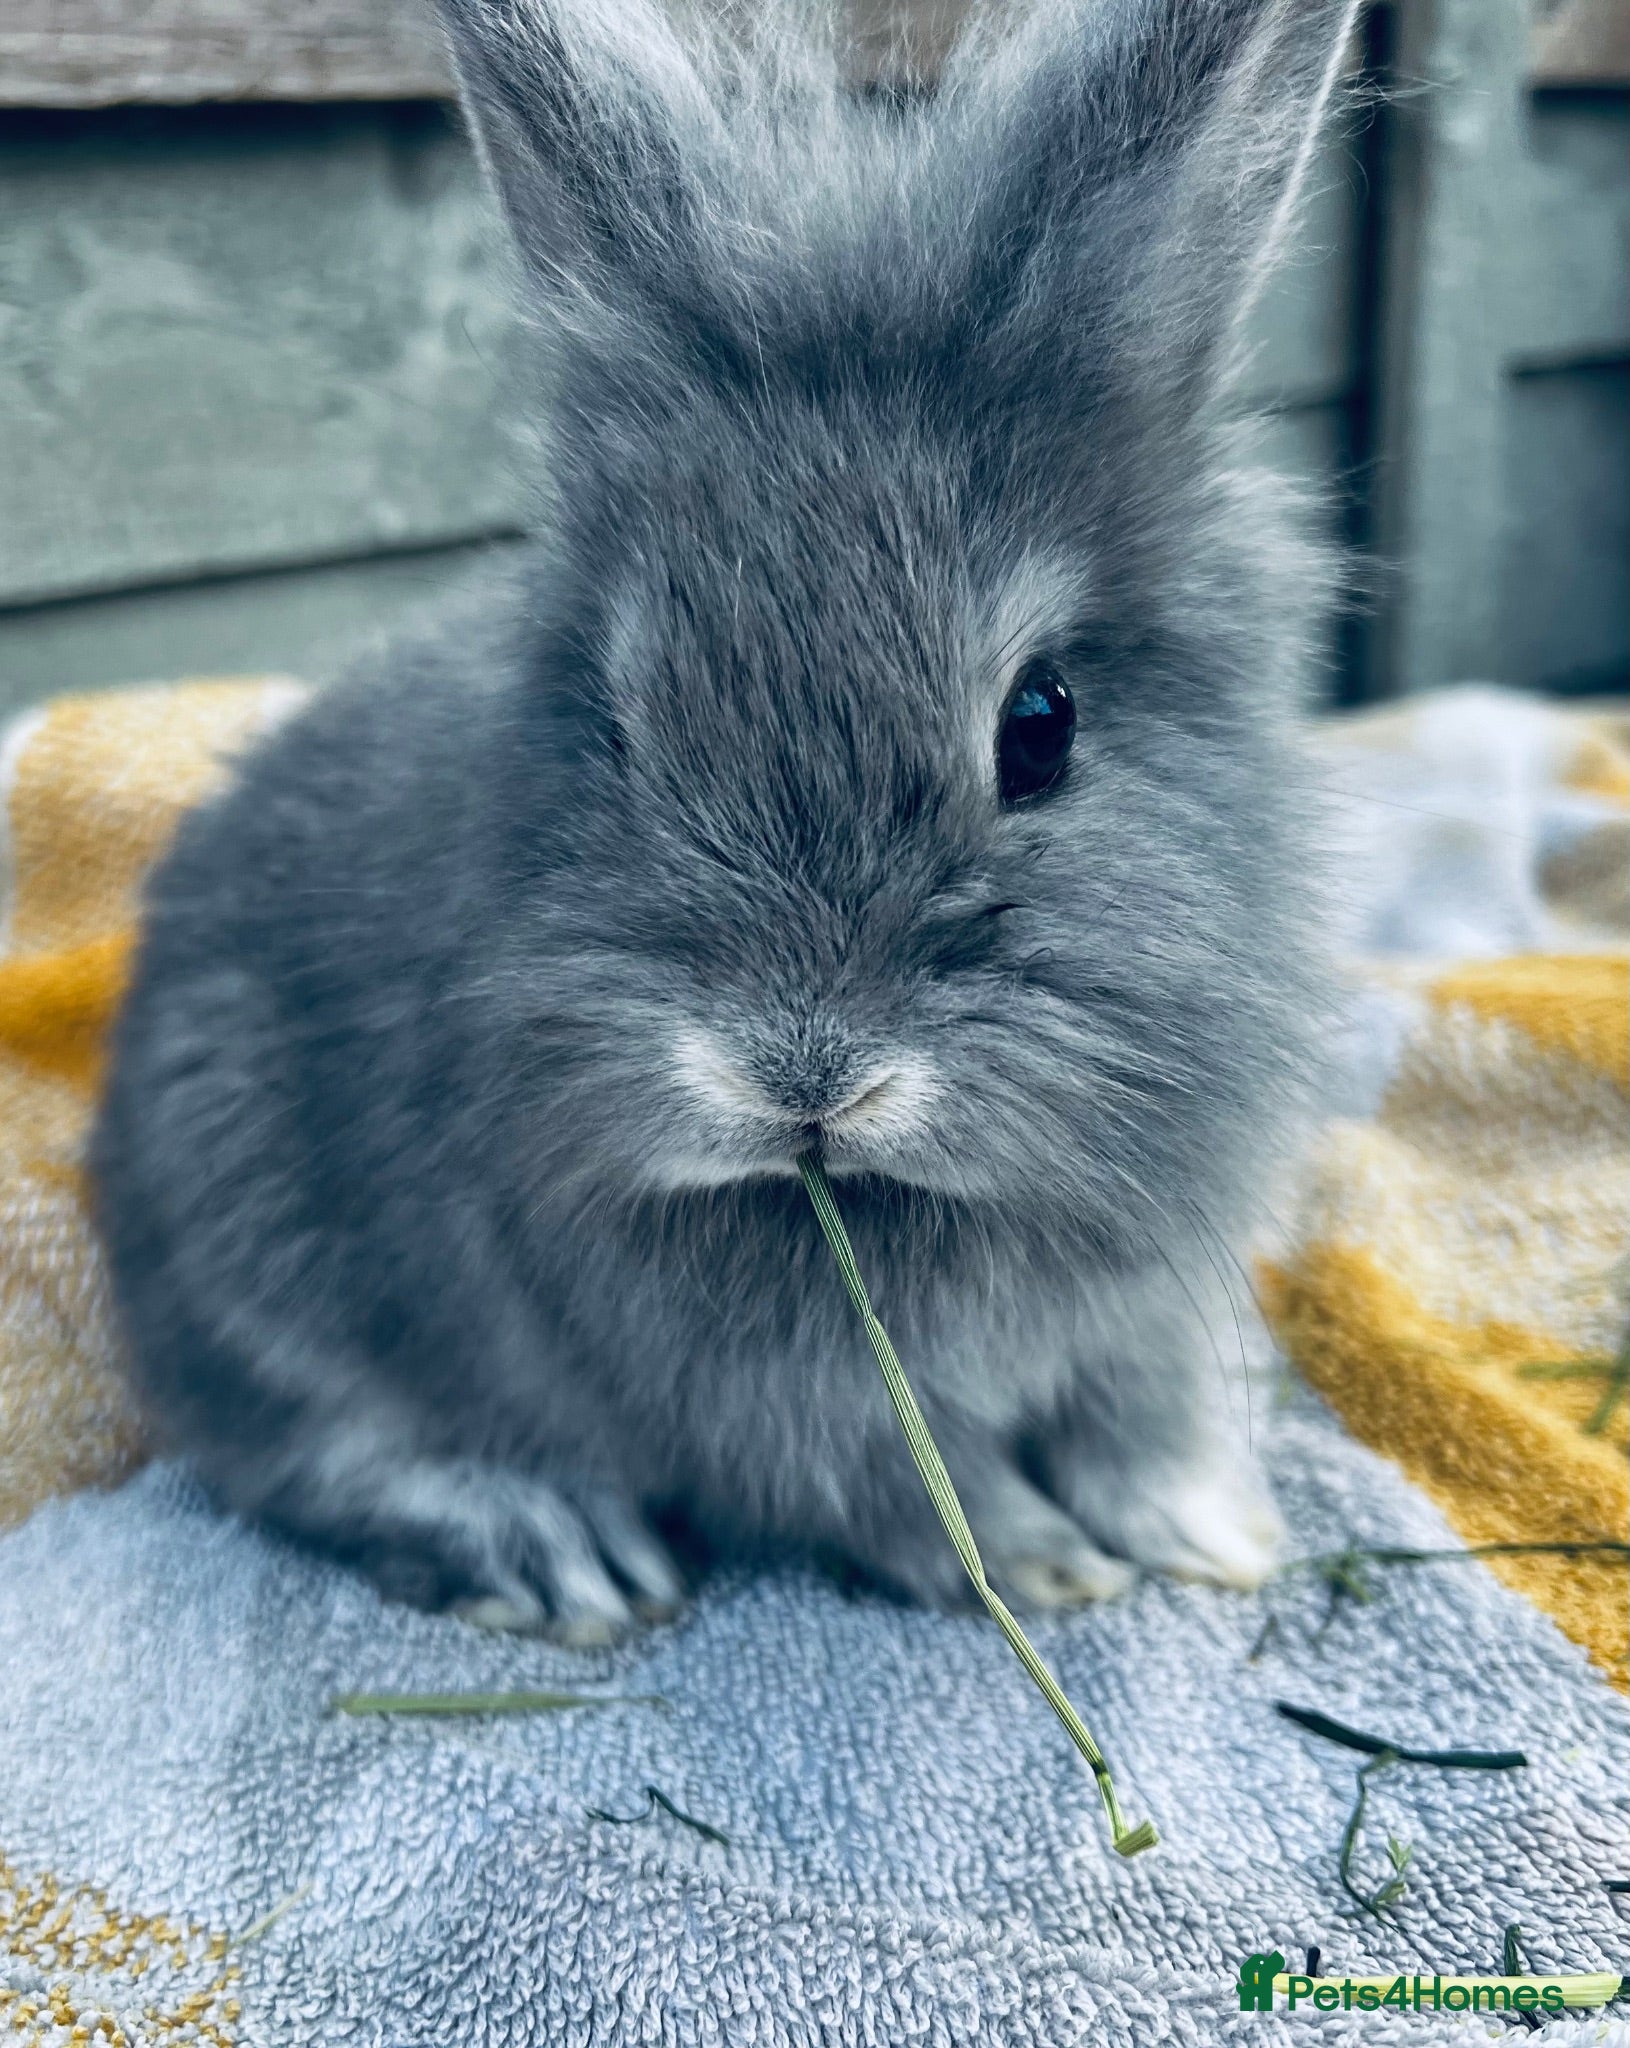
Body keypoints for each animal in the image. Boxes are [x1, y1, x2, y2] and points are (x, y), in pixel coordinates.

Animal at [90, 0, 1357, 1642]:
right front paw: (1049, 1568)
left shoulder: (1147, 1310)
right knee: (309, 1452)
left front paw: (1210, 1534)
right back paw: (556, 1552)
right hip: (241, 1218)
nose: (798, 1078)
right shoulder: (789, 1414)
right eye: (619, 726)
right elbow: (918, 1492)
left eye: (1042, 723)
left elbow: (1139, 1416)